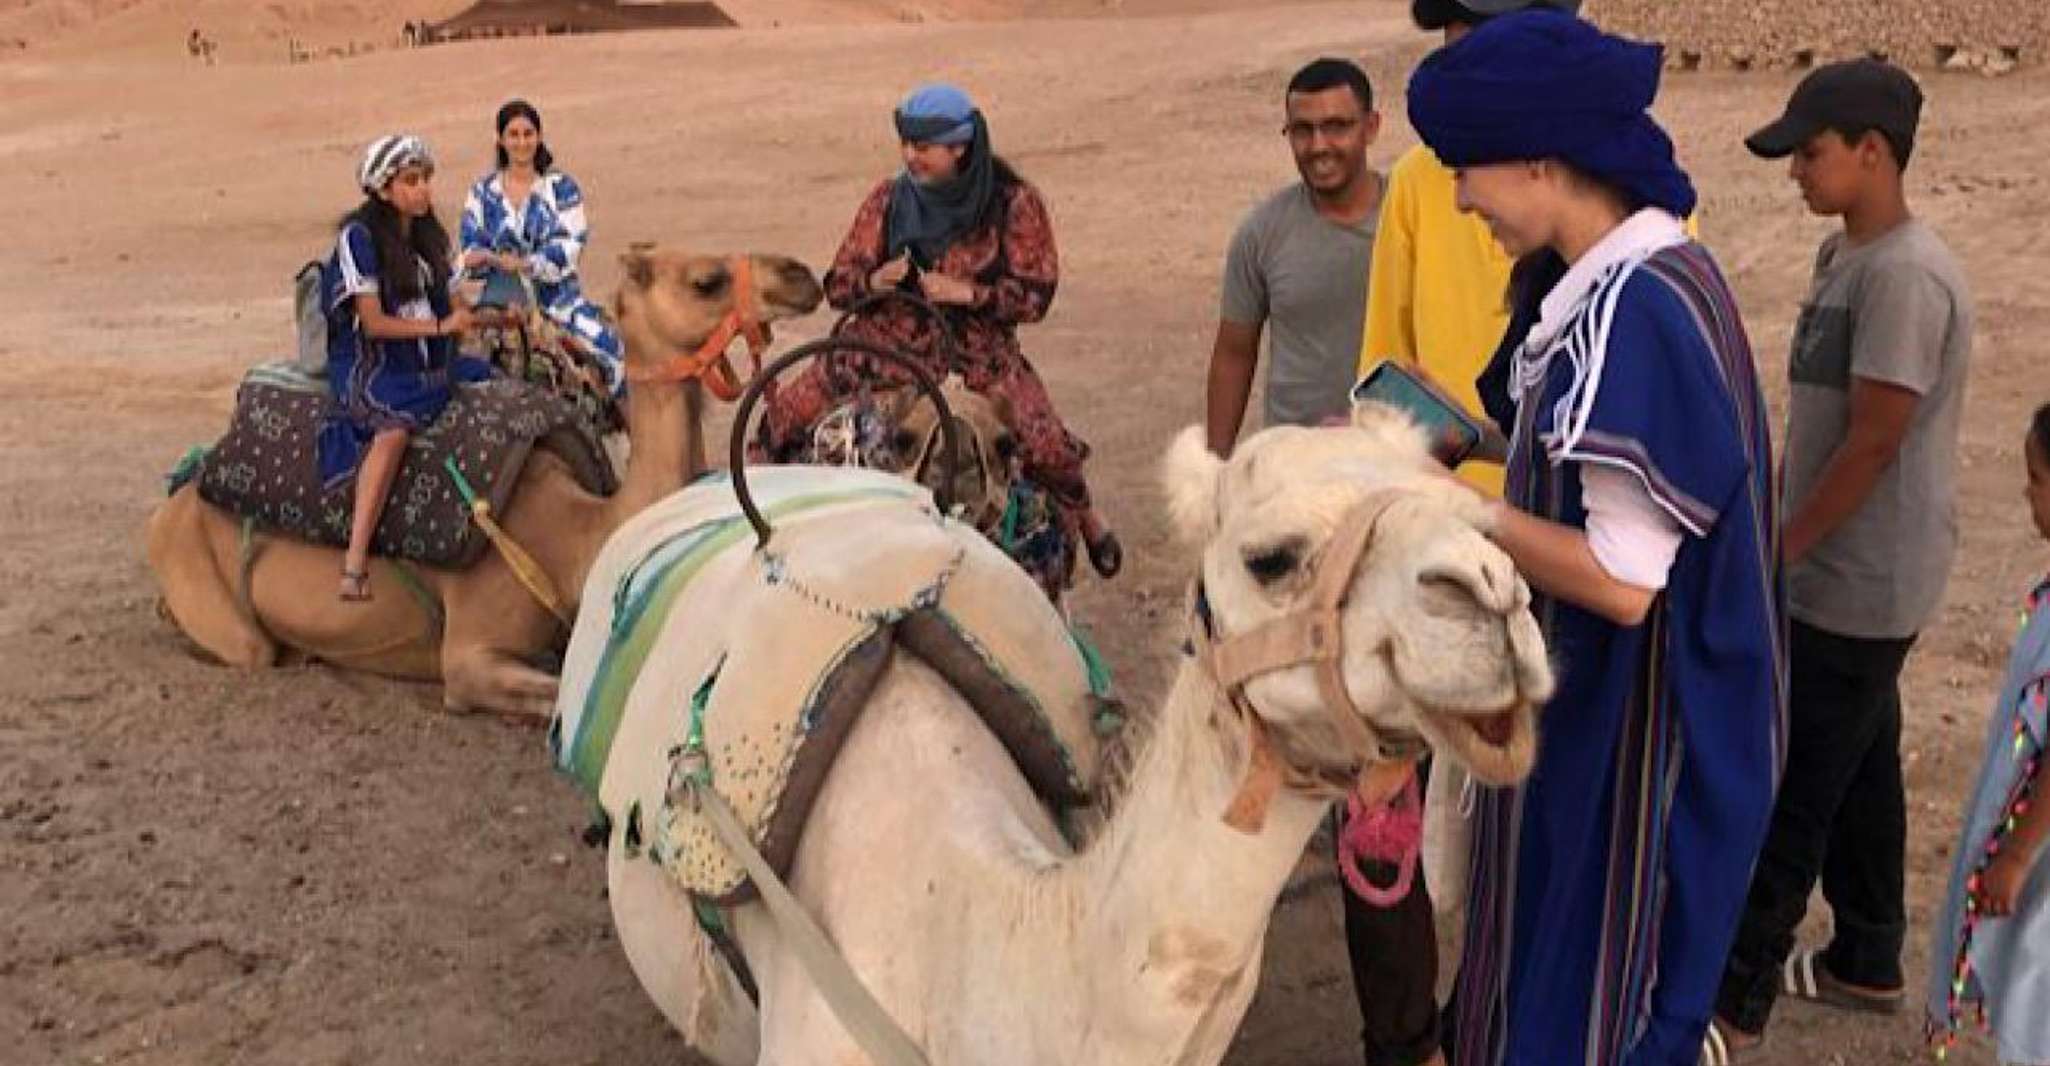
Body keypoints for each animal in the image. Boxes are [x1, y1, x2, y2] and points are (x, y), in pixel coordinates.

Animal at [144, 246, 823, 718]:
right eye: (706, 280)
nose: (801, 275)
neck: (575, 534)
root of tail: (176, 497)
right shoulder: (470, 655)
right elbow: (541, 697)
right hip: (204, 581)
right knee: (248, 646)